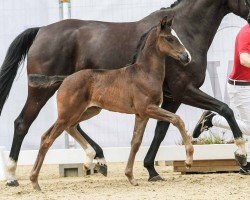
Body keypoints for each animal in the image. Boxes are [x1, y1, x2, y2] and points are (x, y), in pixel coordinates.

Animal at [27, 16, 193, 190]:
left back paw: (87, 162)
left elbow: (136, 142)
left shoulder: (142, 114)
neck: (145, 73)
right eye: (169, 38)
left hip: (86, 111)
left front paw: (130, 177)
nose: (186, 57)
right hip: (68, 114)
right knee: (48, 139)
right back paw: (35, 181)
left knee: (65, 129)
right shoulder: (148, 109)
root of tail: (64, 79)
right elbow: (177, 119)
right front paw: (188, 161)